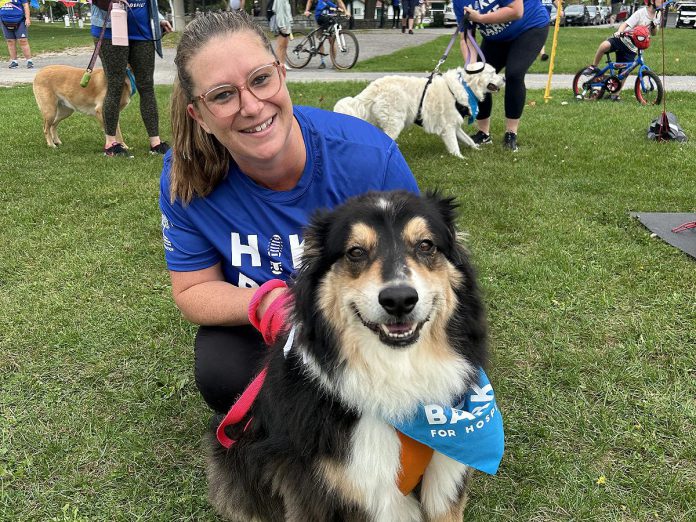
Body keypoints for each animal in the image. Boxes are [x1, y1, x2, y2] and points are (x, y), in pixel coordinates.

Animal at [334, 64, 502, 156]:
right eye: (493, 73)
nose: (504, 79)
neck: (465, 85)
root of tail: (372, 88)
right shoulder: (448, 127)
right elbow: (454, 147)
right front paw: (461, 158)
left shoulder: (455, 126)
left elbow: (467, 140)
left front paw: (477, 150)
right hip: (395, 122)